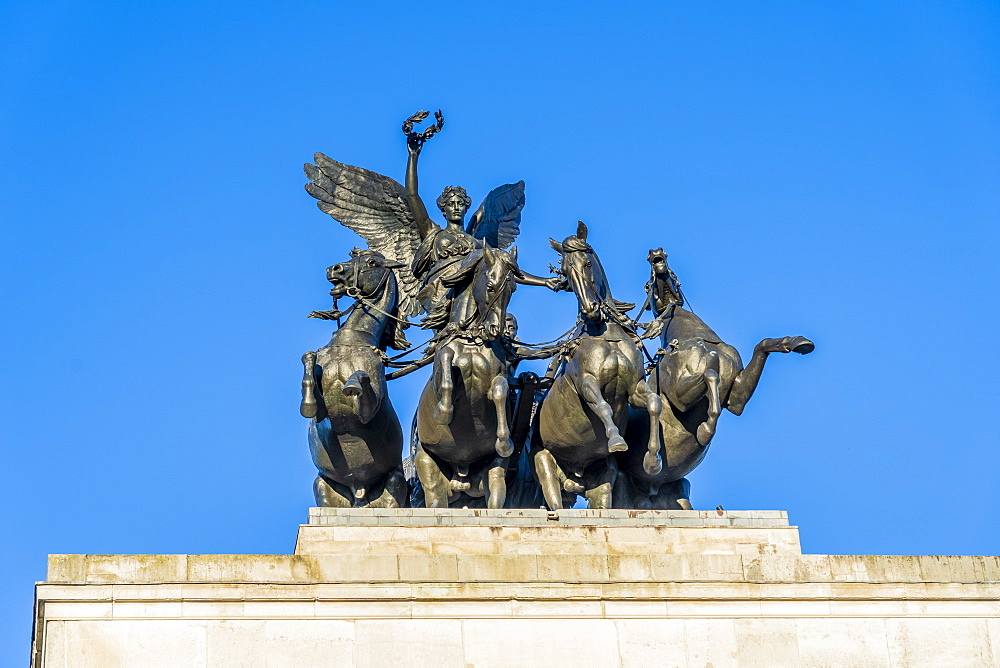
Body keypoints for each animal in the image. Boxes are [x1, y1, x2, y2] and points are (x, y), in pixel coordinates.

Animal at [298, 249, 408, 506]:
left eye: (372, 262)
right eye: (350, 258)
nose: (334, 269)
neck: (351, 342)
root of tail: (359, 491)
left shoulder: (368, 410)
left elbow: (362, 378)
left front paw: (351, 384)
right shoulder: (320, 410)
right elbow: (309, 373)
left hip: (395, 483)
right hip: (323, 487)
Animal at [414, 247, 524, 512]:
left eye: (513, 288)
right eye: (491, 286)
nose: (496, 330)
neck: (472, 339)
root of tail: (461, 478)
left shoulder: (499, 377)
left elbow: (500, 390)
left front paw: (504, 440)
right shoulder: (442, 369)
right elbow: (445, 362)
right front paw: (443, 412)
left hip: (493, 475)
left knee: (495, 496)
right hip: (428, 467)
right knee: (435, 500)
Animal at [532, 222, 664, 508]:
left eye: (587, 263)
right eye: (565, 271)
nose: (591, 309)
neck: (605, 334)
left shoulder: (634, 387)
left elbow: (653, 403)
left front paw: (652, 461)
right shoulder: (587, 383)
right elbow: (604, 406)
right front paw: (616, 440)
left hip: (600, 483)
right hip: (545, 465)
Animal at [616, 248, 812, 508]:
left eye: (672, 272)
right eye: (647, 285)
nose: (656, 255)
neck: (696, 339)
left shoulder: (737, 399)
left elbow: (761, 346)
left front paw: (798, 343)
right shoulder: (679, 397)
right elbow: (710, 374)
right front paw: (705, 430)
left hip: (677, 493)